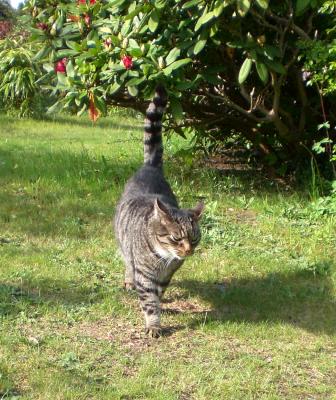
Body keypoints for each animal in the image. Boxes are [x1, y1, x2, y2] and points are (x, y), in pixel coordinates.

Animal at [114, 85, 203, 338]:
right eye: (176, 238)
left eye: (194, 238)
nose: (188, 251)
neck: (164, 259)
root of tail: (150, 167)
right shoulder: (144, 275)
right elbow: (149, 301)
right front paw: (153, 324)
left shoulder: (166, 276)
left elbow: (159, 294)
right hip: (124, 246)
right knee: (127, 263)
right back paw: (128, 281)